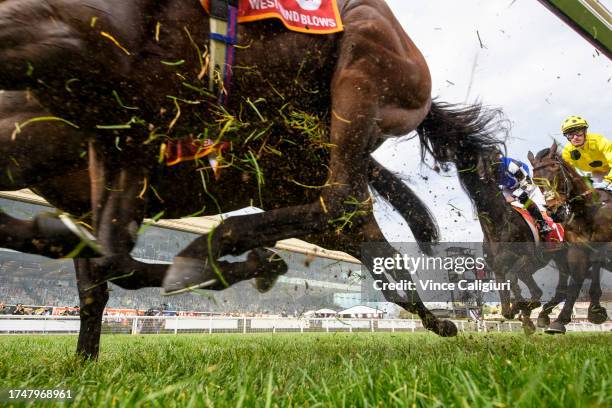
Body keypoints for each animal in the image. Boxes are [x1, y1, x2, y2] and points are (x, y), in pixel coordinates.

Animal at [528, 145, 608, 334]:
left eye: (556, 169)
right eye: (535, 179)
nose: (554, 210)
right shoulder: (577, 251)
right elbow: (574, 283)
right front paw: (558, 320)